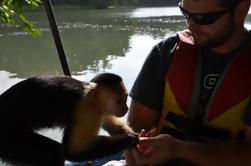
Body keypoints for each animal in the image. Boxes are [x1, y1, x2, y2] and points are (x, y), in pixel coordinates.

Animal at [0, 73, 137, 165]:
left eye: (125, 99)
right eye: (120, 101)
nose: (126, 108)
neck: (91, 96)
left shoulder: (99, 110)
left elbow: (109, 122)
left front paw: (132, 134)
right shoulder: (86, 109)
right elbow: (72, 152)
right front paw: (128, 140)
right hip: (9, 139)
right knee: (54, 154)